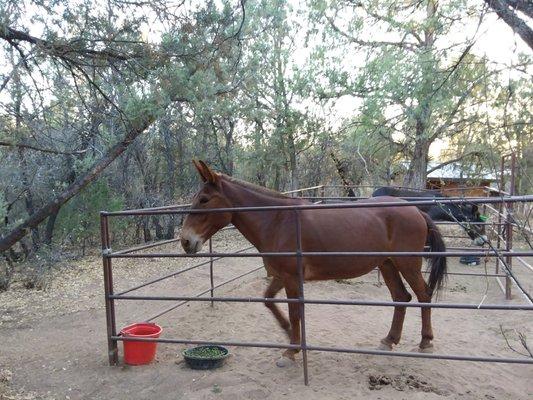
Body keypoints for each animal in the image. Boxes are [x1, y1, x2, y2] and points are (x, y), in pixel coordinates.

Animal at [181, 159, 446, 366]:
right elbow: (269, 300)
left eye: (204, 199)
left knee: (423, 295)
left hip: (407, 263)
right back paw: (389, 341)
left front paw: (291, 351)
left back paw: (426, 342)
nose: (185, 241)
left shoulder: (291, 278)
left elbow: (295, 312)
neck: (277, 219)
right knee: (401, 297)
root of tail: (417, 211)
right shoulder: (282, 276)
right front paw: (290, 334)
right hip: (387, 264)